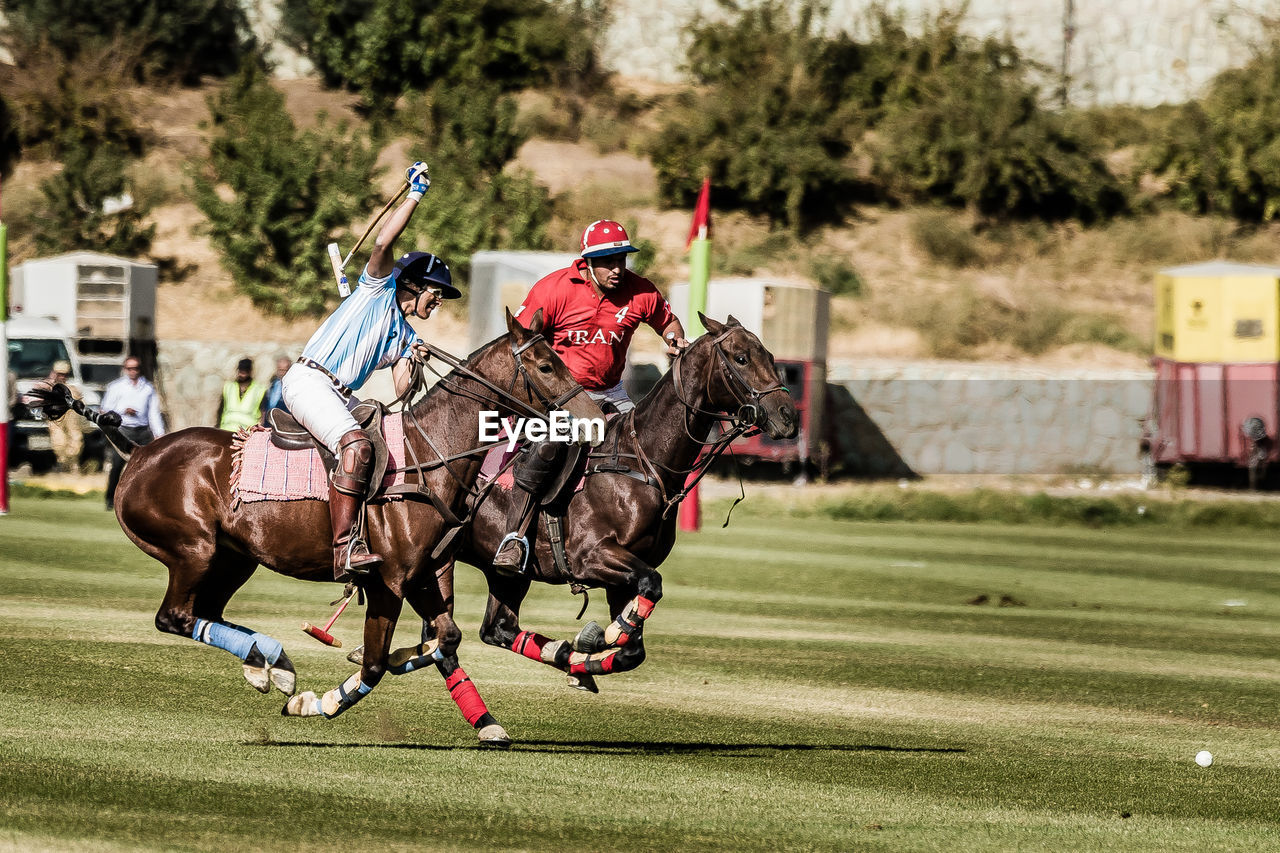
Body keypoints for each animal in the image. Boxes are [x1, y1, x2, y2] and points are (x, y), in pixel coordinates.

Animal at [38, 308, 599, 742]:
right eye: (546, 364)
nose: (594, 416)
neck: (429, 456)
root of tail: (136, 453)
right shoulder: (390, 580)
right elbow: (377, 662)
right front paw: (317, 702)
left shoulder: (424, 573)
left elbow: (446, 637)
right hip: (192, 548)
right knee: (174, 616)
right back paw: (273, 666)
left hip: (234, 557)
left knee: (205, 611)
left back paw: (270, 664)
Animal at [435, 312, 793, 691]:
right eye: (741, 359)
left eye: (770, 356)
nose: (788, 417)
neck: (644, 463)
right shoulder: (592, 557)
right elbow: (651, 587)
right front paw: (599, 638)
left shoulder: (623, 577)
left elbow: (633, 650)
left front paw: (589, 653)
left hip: (506, 575)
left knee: (498, 629)